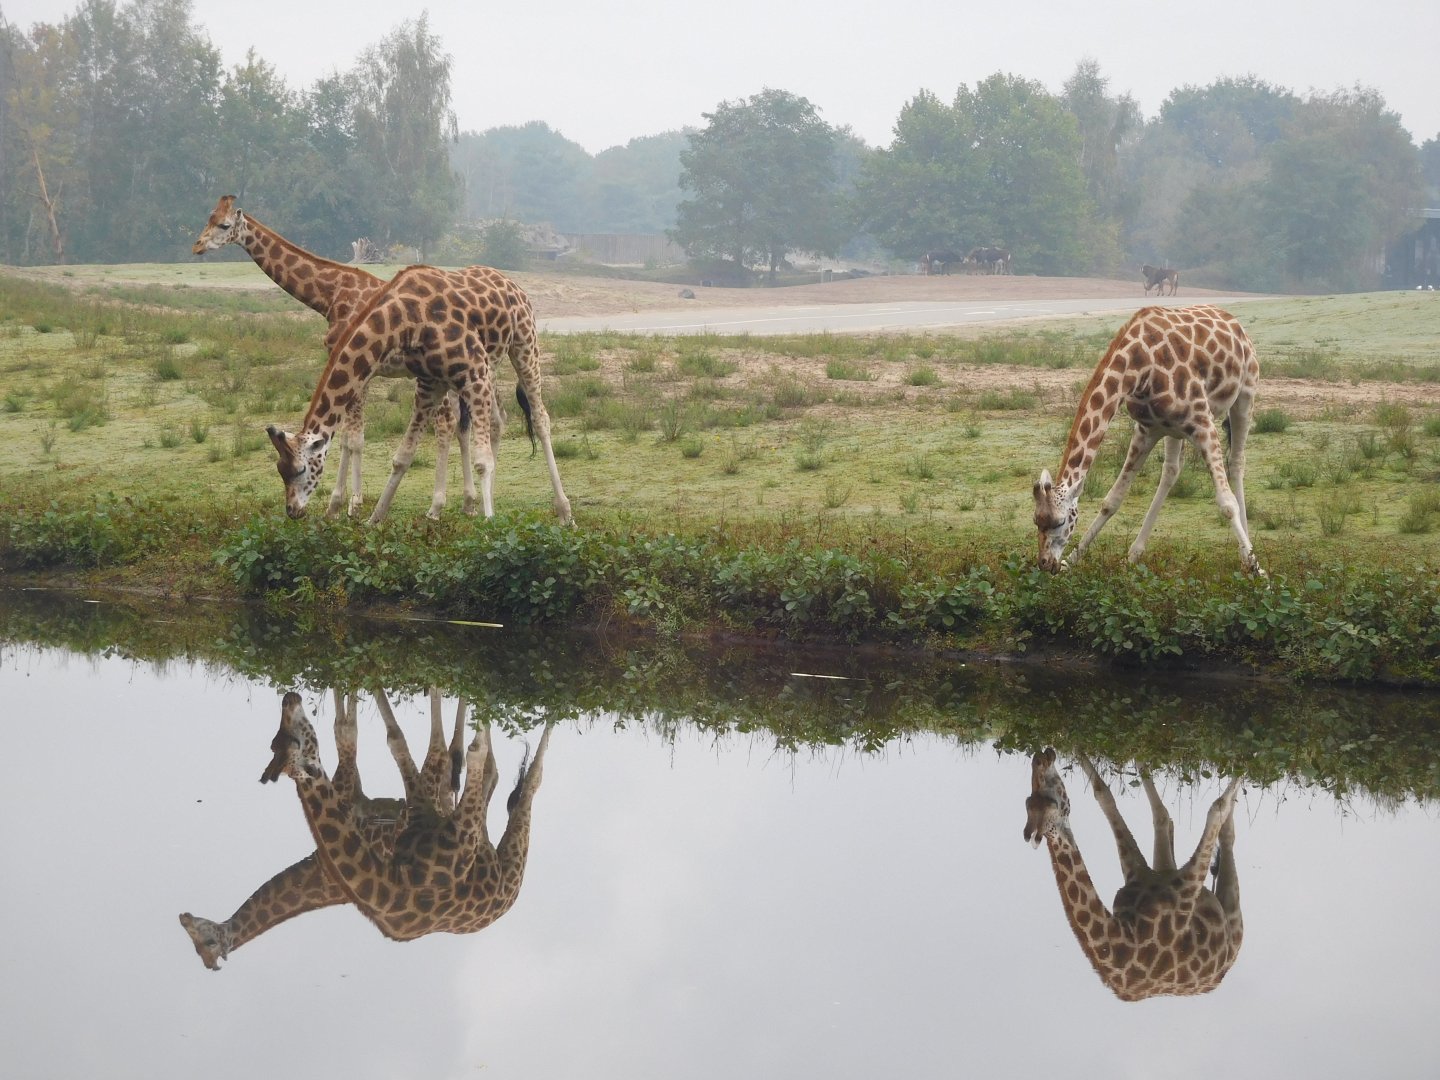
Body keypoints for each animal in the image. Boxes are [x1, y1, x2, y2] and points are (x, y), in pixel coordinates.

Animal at [179, 688, 550, 969]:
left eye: (287, 739)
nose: (289, 697)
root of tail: (506, 901)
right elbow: (358, 727)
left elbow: (355, 726)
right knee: (490, 773)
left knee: (519, 779)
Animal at [191, 195, 462, 520]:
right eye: (207, 218)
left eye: (224, 224)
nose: (197, 246)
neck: (328, 294)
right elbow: (344, 437)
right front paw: (338, 505)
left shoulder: (357, 367)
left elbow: (354, 438)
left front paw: (351, 505)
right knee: (459, 422)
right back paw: (468, 504)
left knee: (446, 423)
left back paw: (436, 508)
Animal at [1023, 748, 1243, 1001]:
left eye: (1037, 800)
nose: (1041, 757)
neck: (1127, 936)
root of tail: (1217, 978)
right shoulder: (1175, 887)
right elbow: (1217, 808)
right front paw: (1241, 765)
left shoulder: (1146, 875)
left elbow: (1103, 793)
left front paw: (1080, 751)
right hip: (1230, 918)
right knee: (1212, 832)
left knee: (1168, 818)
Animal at [1030, 304, 1262, 575]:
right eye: (1036, 520)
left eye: (1060, 521)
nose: (1045, 563)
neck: (1140, 367)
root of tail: (1234, 322)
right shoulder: (1147, 429)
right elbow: (1112, 499)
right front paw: (1072, 560)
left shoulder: (1203, 424)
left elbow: (1227, 503)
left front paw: (1259, 571)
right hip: (1173, 430)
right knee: (1171, 471)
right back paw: (1134, 553)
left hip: (1245, 395)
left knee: (1236, 462)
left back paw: (1248, 553)